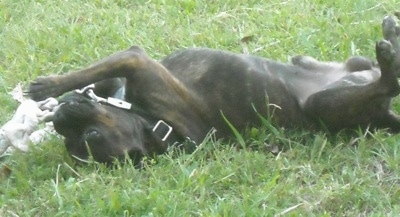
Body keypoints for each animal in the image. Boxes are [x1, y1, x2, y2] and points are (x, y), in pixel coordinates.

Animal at [29, 15, 400, 164]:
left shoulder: (134, 61)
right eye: (73, 142)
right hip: (327, 101)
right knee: (389, 81)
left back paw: (390, 38)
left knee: (388, 78)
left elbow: (97, 72)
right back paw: (389, 50)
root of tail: (385, 116)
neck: (151, 121)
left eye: (90, 136)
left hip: (338, 73)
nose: (60, 120)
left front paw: (48, 87)